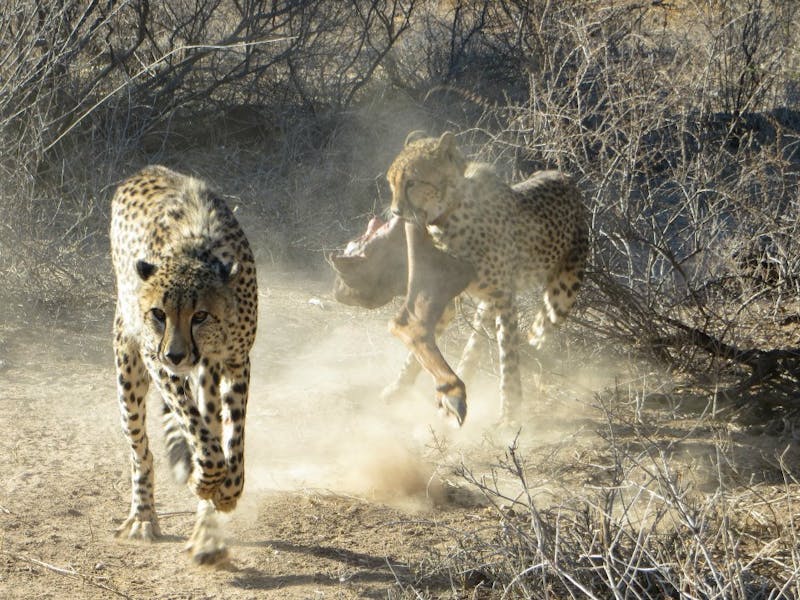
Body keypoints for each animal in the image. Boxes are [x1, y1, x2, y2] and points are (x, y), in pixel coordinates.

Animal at [109, 164, 258, 564]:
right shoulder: (156, 360)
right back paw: (144, 516)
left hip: (206, 375)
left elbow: (232, 438)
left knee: (210, 421)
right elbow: (201, 437)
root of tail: (148, 168)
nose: (175, 355)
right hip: (128, 361)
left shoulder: (235, 361)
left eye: (200, 315)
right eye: (159, 314)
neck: (194, 250)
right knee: (140, 448)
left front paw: (227, 491)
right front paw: (204, 480)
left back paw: (206, 532)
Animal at [384, 131, 584, 424]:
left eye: (411, 182)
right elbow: (418, 342)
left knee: (535, 333)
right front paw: (398, 388)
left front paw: (510, 414)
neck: (448, 215)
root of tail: (563, 173)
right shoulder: (445, 297)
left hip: (561, 296)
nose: (396, 212)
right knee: (478, 339)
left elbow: (508, 357)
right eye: (392, 183)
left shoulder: (504, 298)